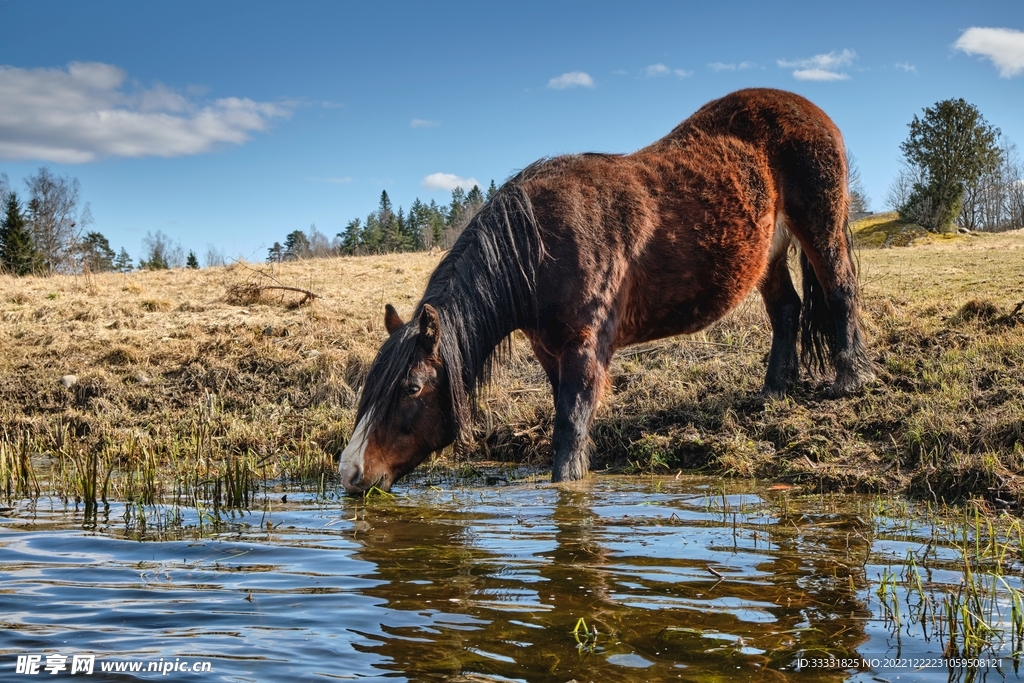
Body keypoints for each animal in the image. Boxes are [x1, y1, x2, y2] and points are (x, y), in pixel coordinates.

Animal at [339, 88, 874, 494]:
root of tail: (811, 111)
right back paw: (773, 391)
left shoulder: (585, 349)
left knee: (841, 292)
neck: (538, 250)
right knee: (786, 310)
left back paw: (848, 380)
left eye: (411, 387)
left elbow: (569, 431)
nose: (351, 472)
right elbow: (567, 420)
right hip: (769, 254)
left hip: (820, 229)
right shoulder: (551, 354)